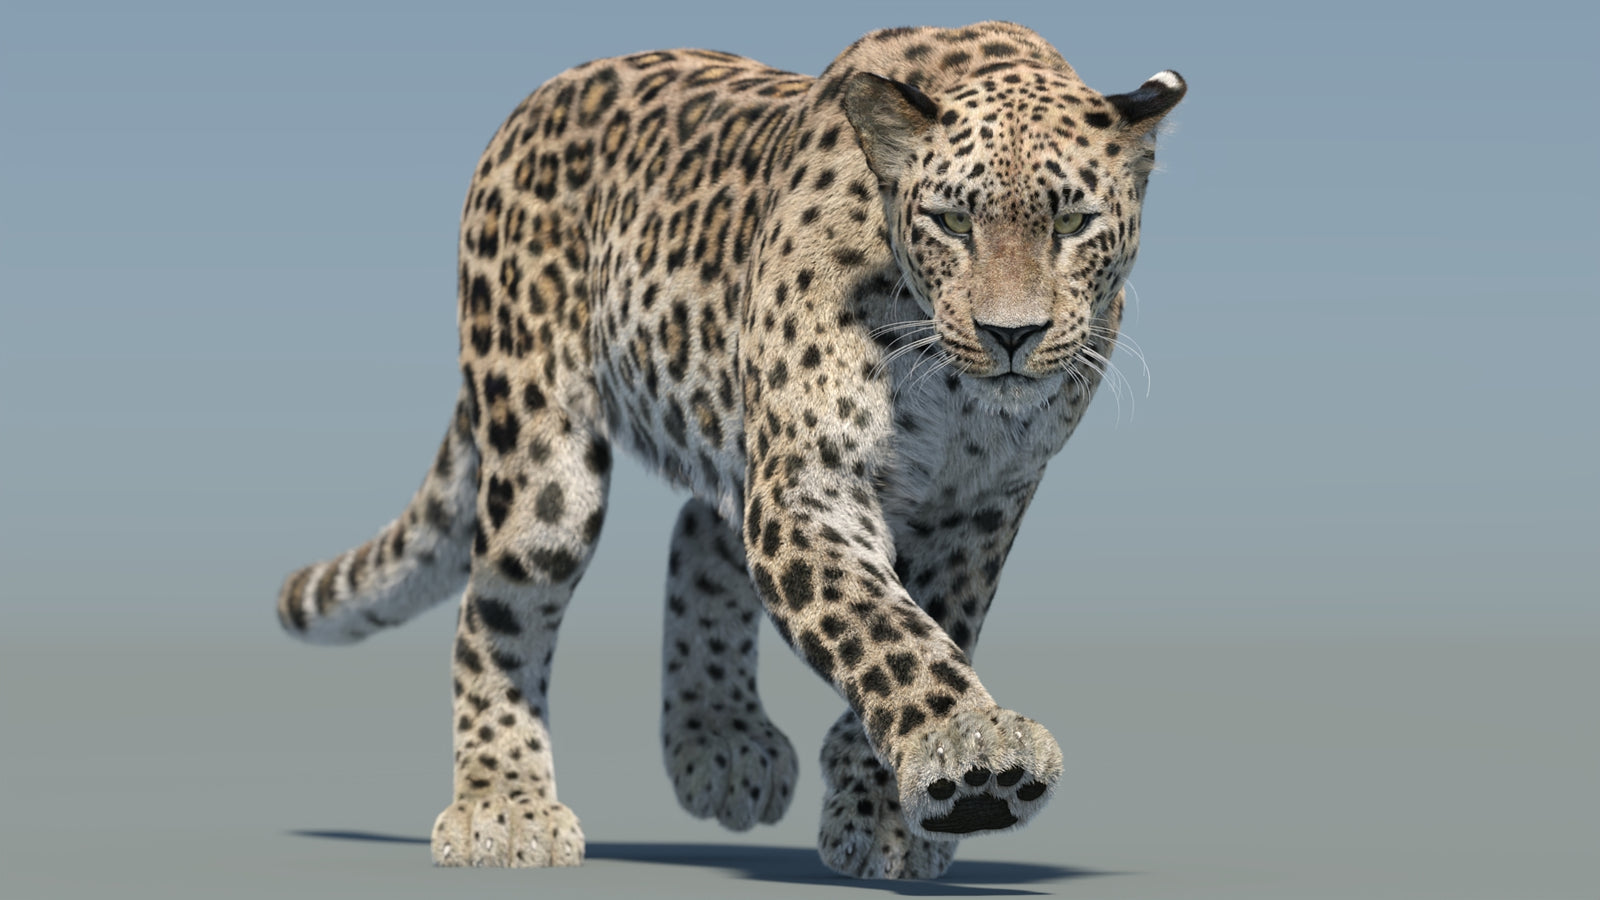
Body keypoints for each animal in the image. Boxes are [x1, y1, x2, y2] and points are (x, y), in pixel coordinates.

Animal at [276, 20, 1184, 880]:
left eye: (1072, 223)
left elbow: (938, 623)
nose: (1011, 335)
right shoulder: (808, 488)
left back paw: (719, 741)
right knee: (495, 607)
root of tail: (536, 101)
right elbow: (886, 631)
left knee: (698, 534)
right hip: (542, 457)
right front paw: (970, 755)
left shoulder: (980, 509)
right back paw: (503, 806)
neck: (956, 394)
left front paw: (886, 807)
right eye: (953, 221)